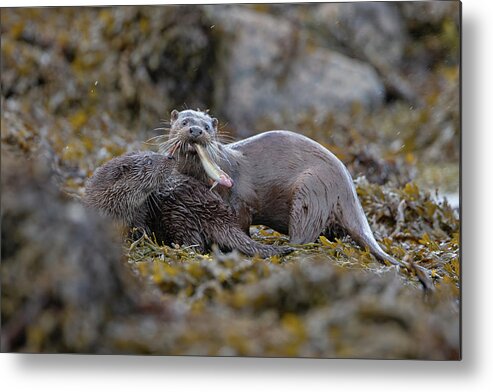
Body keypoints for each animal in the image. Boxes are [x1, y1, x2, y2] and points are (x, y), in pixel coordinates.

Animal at [84, 152, 294, 258]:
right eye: (149, 161)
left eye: (151, 153)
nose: (170, 157)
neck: (113, 207)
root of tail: (211, 209)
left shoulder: (139, 218)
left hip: (176, 213)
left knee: (196, 244)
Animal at [160, 109, 428, 284]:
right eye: (184, 121)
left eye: (207, 127)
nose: (196, 130)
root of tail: (348, 188)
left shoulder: (240, 199)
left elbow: (240, 225)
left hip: (310, 190)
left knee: (304, 236)